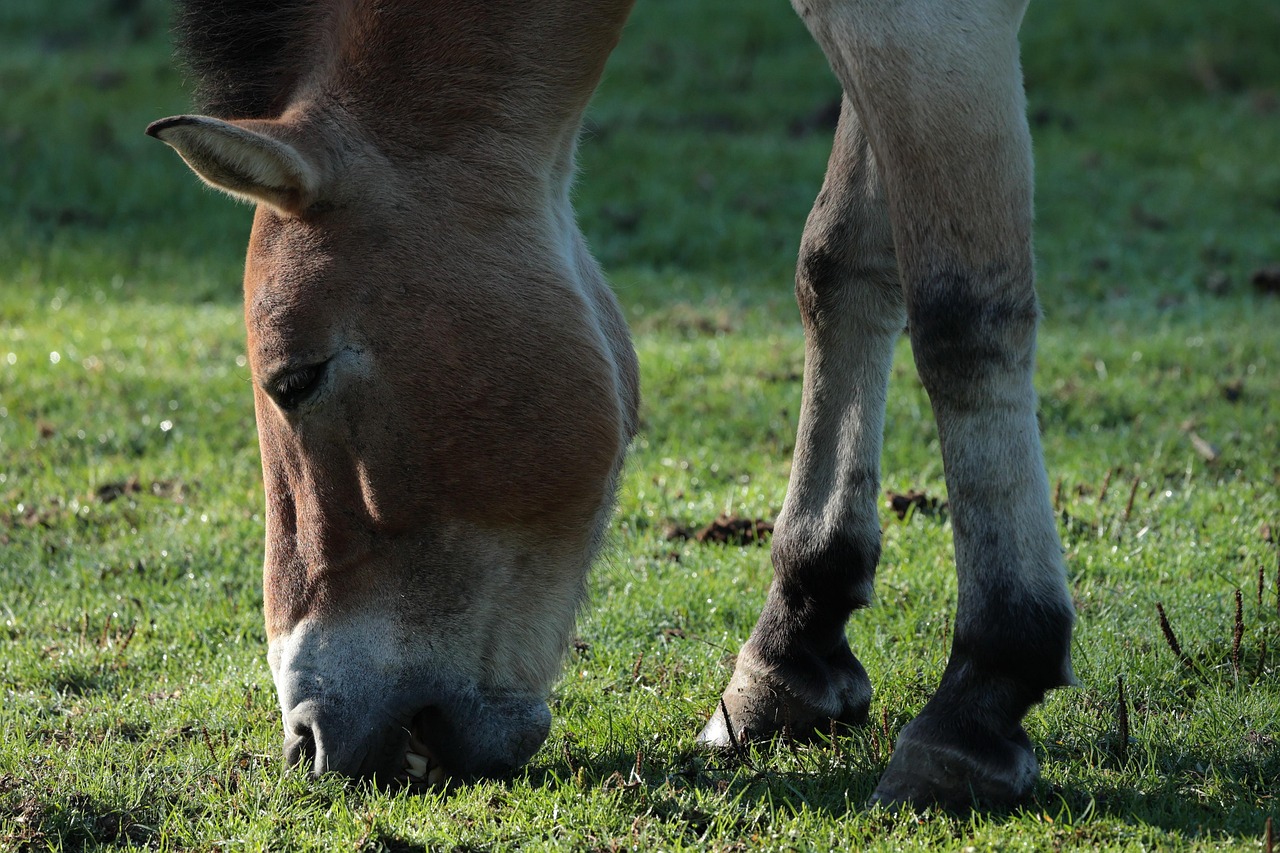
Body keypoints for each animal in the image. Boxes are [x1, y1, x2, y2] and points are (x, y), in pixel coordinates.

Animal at [148, 0, 1075, 809]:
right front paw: (794, 646)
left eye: (294, 380)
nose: (310, 738)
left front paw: (981, 699)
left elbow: (960, 311)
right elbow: (840, 262)